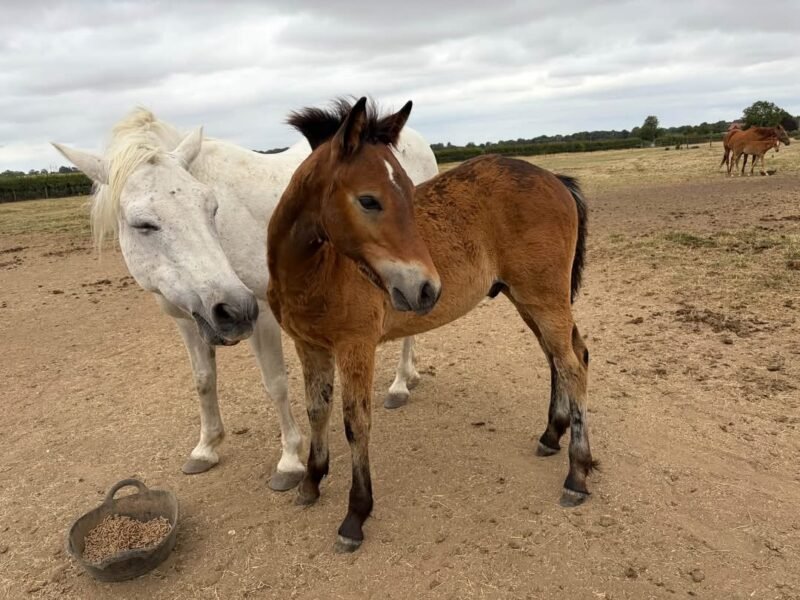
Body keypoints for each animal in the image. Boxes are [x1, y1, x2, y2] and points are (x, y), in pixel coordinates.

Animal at [52, 107, 437, 490]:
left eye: (211, 207)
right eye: (143, 224)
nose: (233, 309)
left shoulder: (262, 315)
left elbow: (275, 383)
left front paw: (289, 460)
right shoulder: (188, 320)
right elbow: (203, 380)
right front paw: (206, 447)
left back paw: (400, 385)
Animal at [267, 97, 592, 552]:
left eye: (408, 189)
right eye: (369, 200)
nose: (425, 288)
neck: (314, 269)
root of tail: (555, 179)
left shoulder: (355, 346)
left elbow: (356, 422)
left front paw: (355, 514)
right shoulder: (309, 345)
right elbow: (318, 410)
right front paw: (311, 482)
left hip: (544, 298)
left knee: (572, 365)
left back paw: (577, 474)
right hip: (528, 300)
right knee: (564, 357)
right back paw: (551, 435)